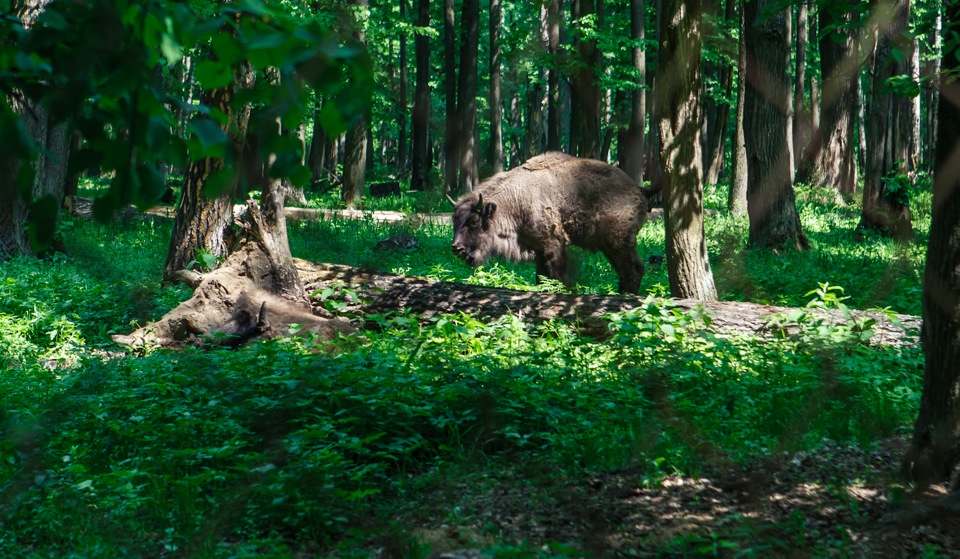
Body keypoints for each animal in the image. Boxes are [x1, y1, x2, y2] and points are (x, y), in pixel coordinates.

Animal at [452, 151, 652, 296]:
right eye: (455, 220)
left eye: (474, 221)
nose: (456, 248)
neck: (515, 200)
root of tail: (639, 190)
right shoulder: (539, 249)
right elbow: (541, 277)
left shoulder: (554, 245)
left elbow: (557, 276)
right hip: (610, 246)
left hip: (618, 243)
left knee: (634, 270)